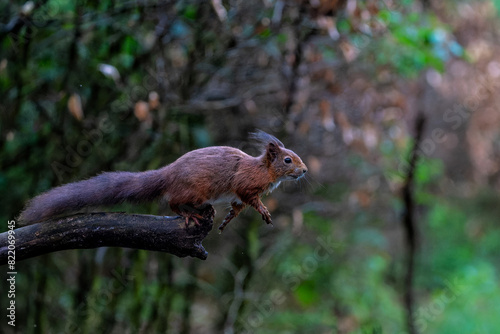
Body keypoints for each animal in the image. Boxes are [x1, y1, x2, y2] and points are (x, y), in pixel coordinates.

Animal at [19, 130, 306, 232]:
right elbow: (250, 199)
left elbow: (236, 207)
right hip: (194, 191)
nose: (304, 171)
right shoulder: (245, 185)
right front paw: (264, 211)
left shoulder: (237, 196)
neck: (263, 170)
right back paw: (189, 214)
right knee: (173, 202)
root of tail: (168, 173)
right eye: (287, 160)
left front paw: (228, 220)